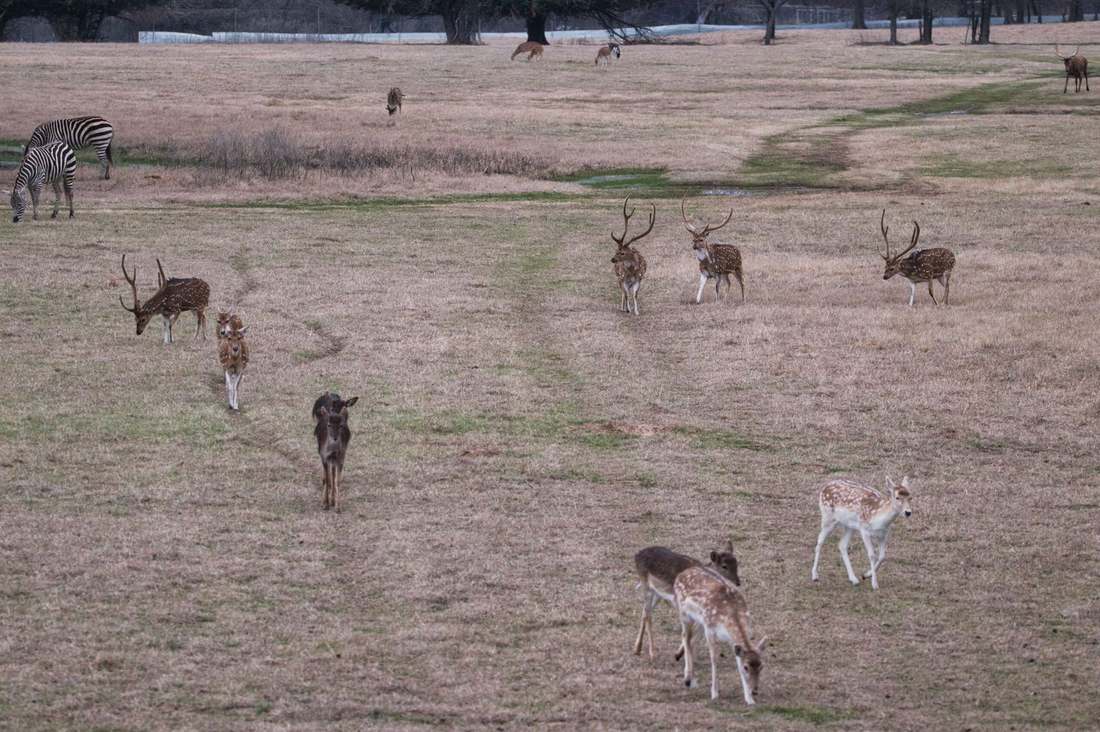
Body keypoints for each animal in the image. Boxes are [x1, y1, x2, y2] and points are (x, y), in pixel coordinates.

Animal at [674, 566, 767, 704]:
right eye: (746, 667)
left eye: (761, 666)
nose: (755, 691)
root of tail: (680, 574)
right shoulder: (710, 629)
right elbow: (714, 659)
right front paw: (714, 693)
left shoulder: (731, 639)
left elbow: (737, 661)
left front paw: (749, 699)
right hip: (684, 613)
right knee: (685, 636)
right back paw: (688, 678)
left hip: (700, 620)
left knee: (692, 640)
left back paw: (691, 679)